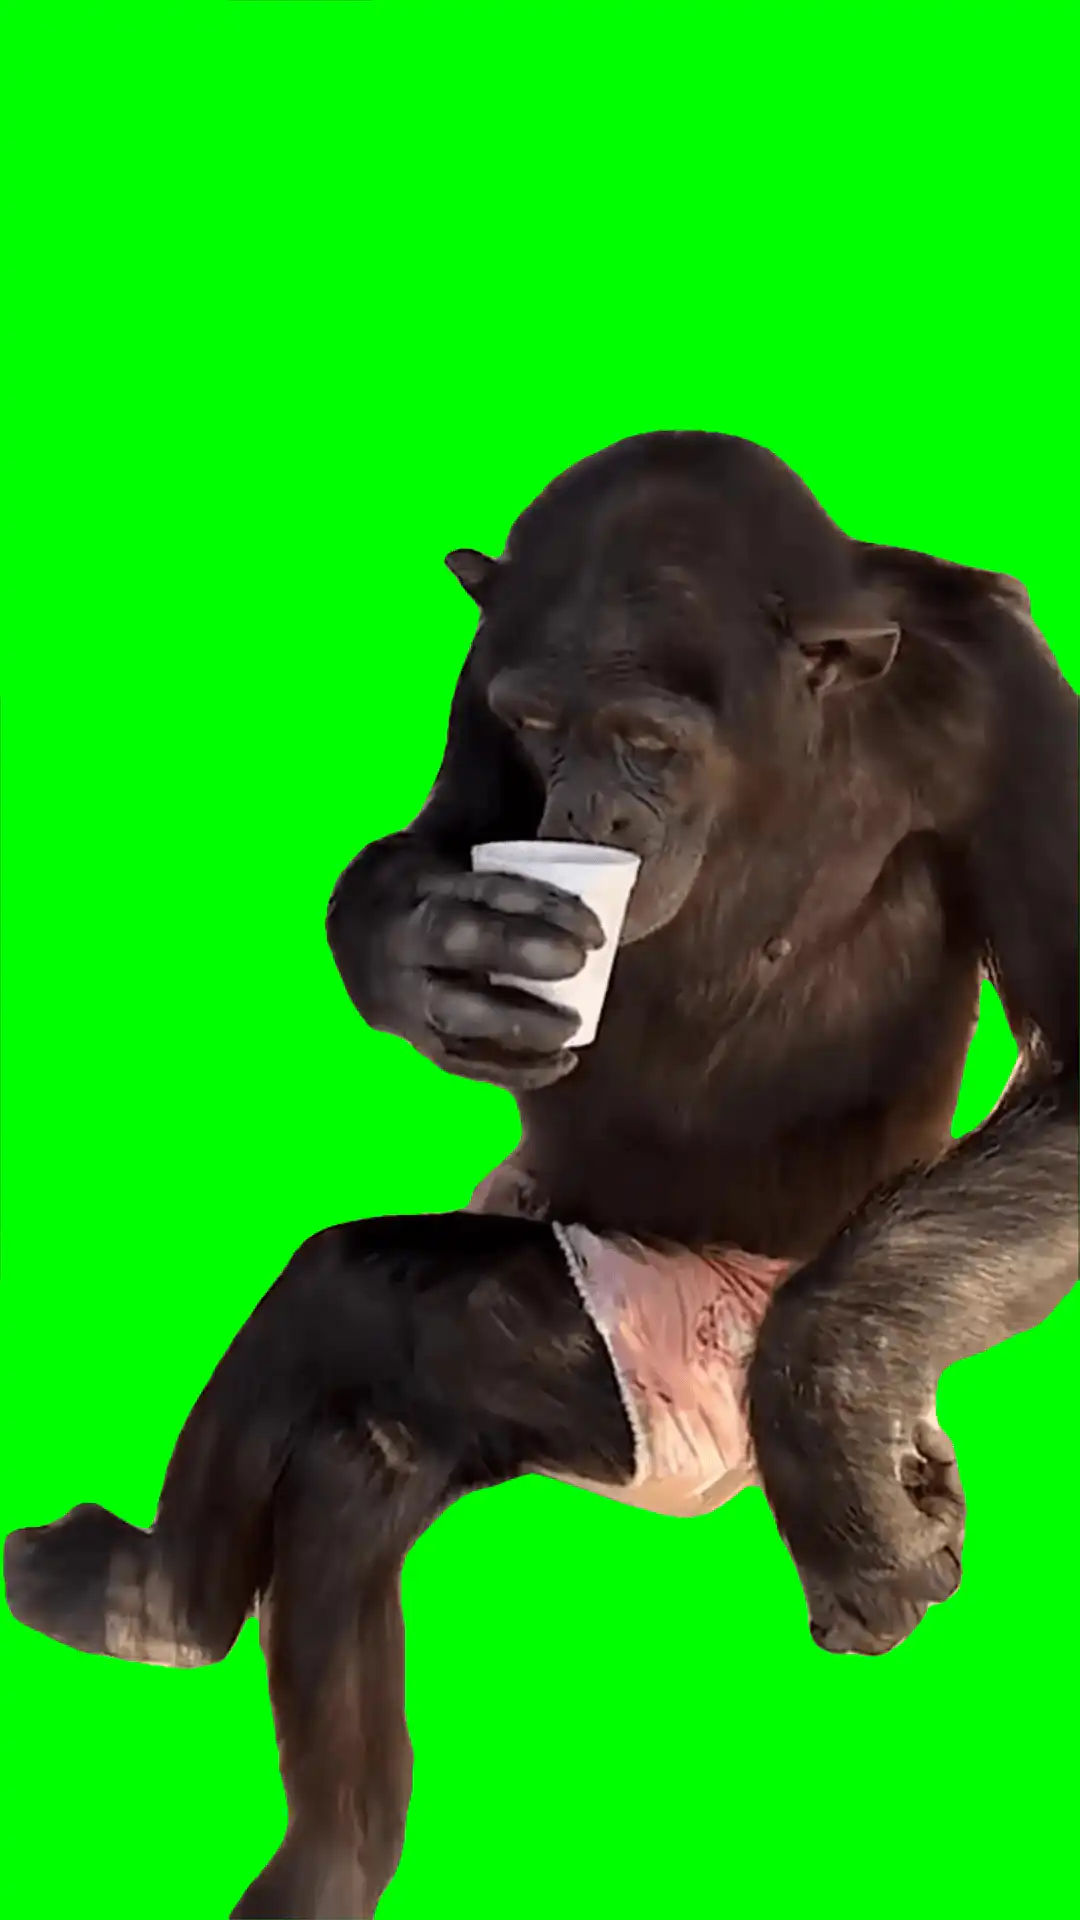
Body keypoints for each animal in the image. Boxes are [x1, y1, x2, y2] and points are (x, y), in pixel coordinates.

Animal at [6, 432, 1077, 1918]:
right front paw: (447, 952)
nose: (584, 808)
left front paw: (844, 1458)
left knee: (371, 1301)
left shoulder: (1001, 703)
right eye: (538, 724)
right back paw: (218, 1694)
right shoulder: (482, 665)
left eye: (647, 743)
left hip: (674, 1373)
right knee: (361, 1422)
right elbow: (433, 840)